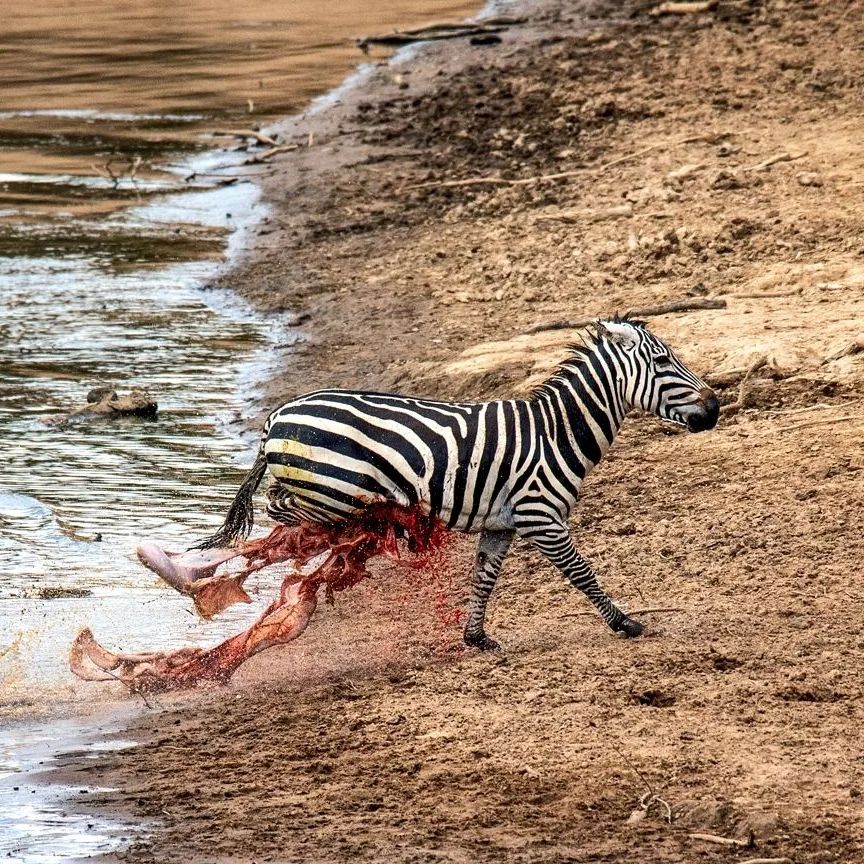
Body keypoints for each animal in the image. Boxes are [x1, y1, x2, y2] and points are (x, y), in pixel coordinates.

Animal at [197, 315, 719, 650]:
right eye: (663, 363)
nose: (715, 408)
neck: (557, 431)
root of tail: (278, 414)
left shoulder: (502, 523)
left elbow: (485, 578)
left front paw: (476, 637)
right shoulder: (541, 516)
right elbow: (582, 572)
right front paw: (625, 623)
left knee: (283, 511)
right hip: (331, 487)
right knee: (280, 510)